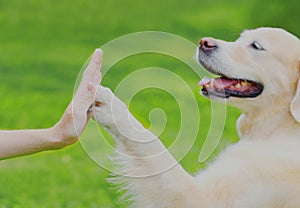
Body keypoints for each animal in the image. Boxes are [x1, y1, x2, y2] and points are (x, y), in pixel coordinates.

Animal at [93, 28, 300, 208]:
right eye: (240, 38)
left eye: (256, 46)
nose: (204, 42)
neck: (281, 126)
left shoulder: (200, 197)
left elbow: (149, 141)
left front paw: (107, 102)